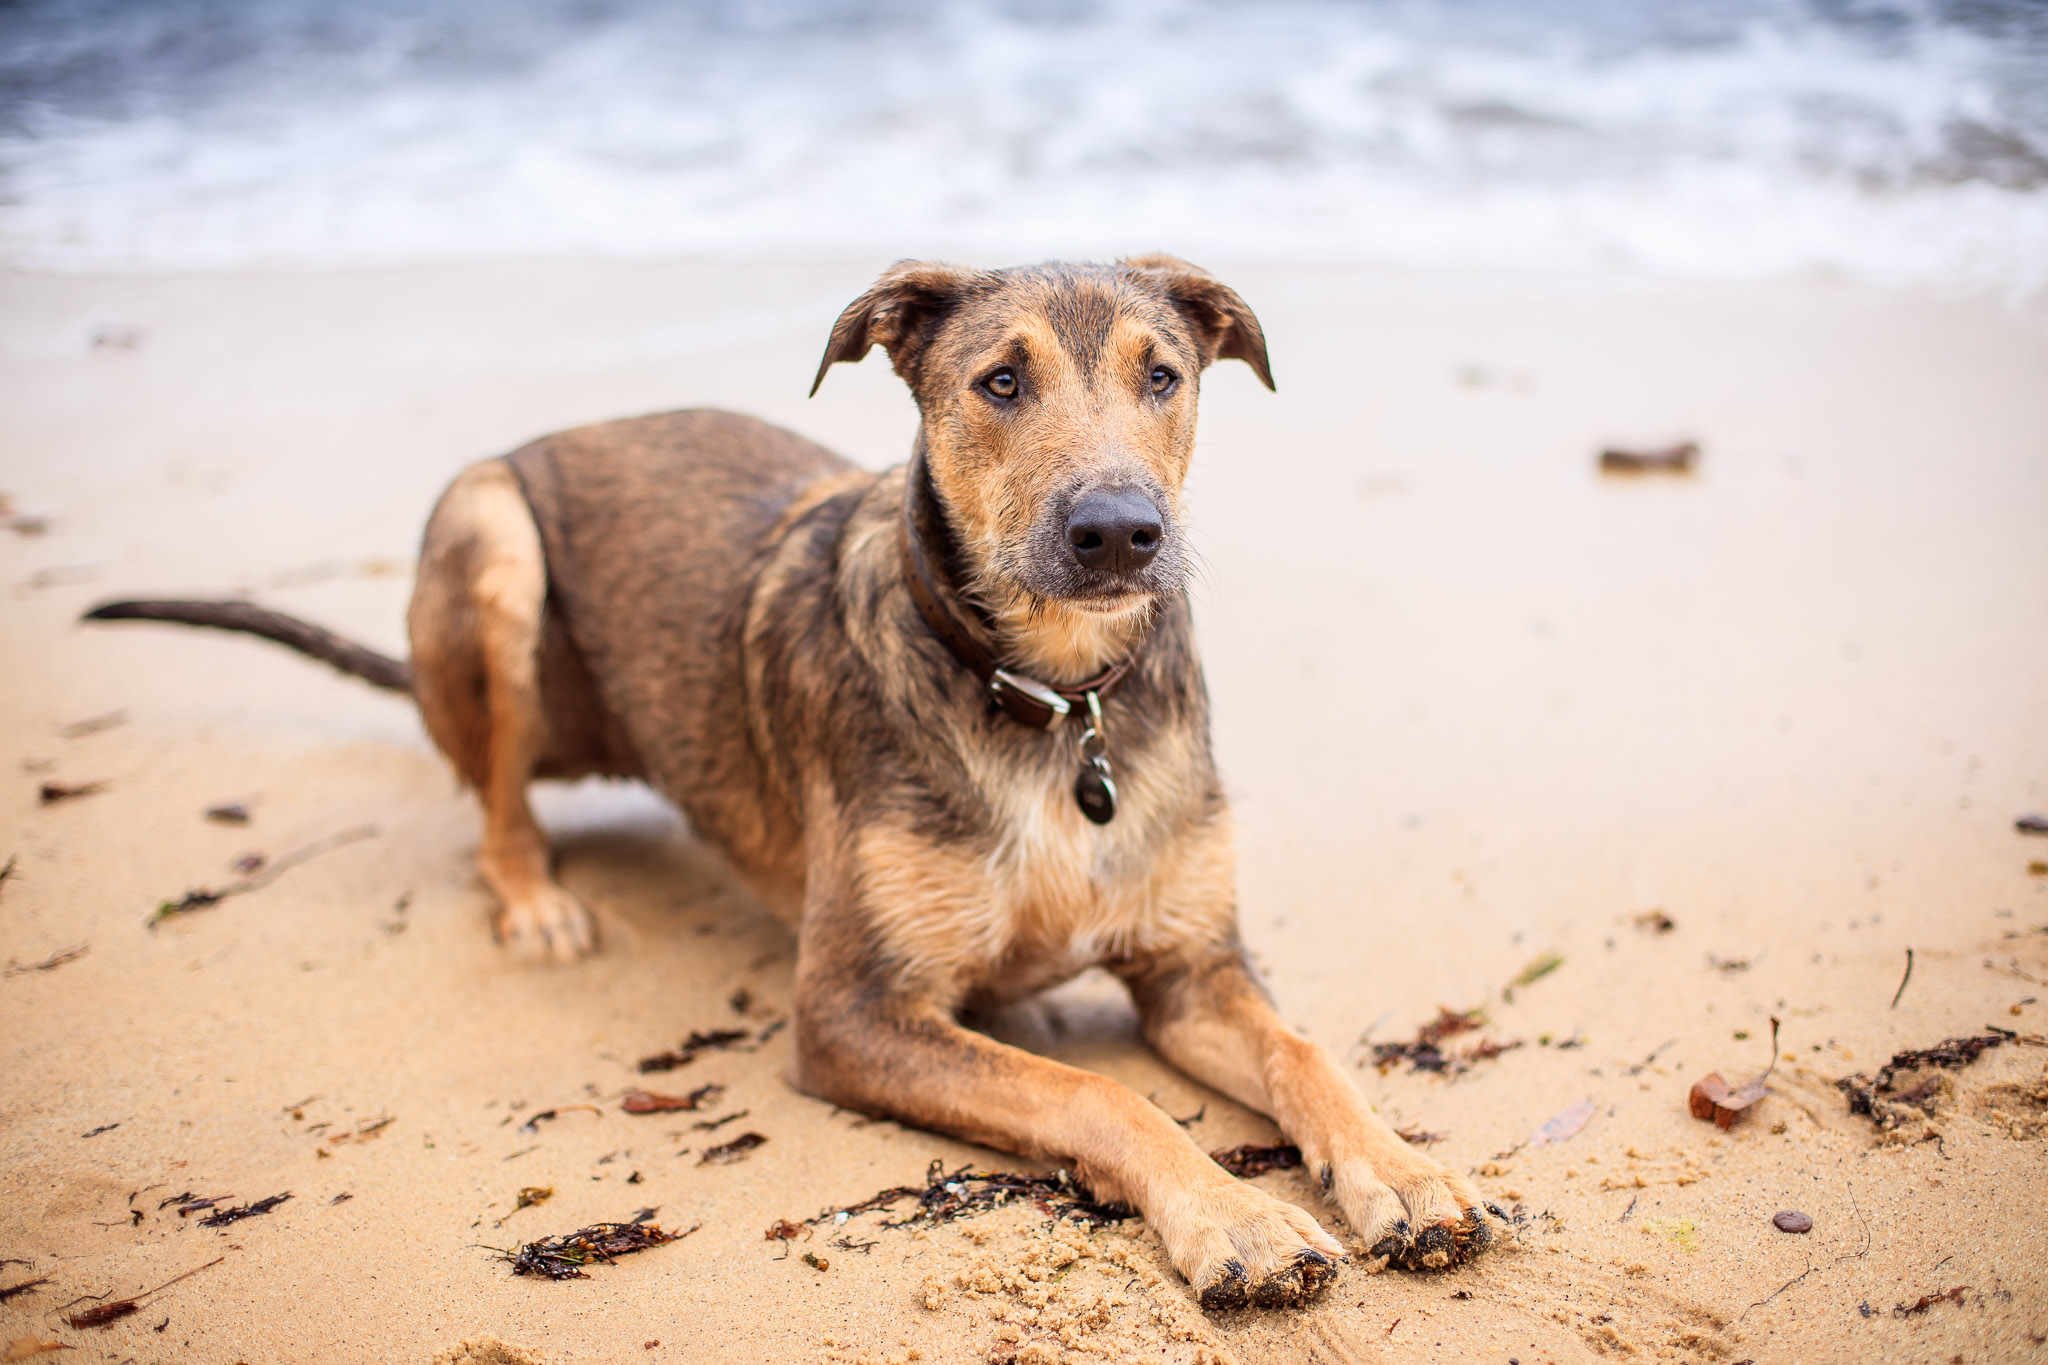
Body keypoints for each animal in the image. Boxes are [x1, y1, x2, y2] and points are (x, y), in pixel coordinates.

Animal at [86, 256, 1500, 1307]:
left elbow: (1308, 1054)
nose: (1118, 533)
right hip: (488, 536)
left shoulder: (1193, 969)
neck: (1049, 700)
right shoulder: (848, 1015)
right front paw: (1235, 1219)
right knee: (491, 800)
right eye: (997, 381)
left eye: (1162, 375)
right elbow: (1096, 1091)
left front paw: (1402, 1170)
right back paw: (532, 897)